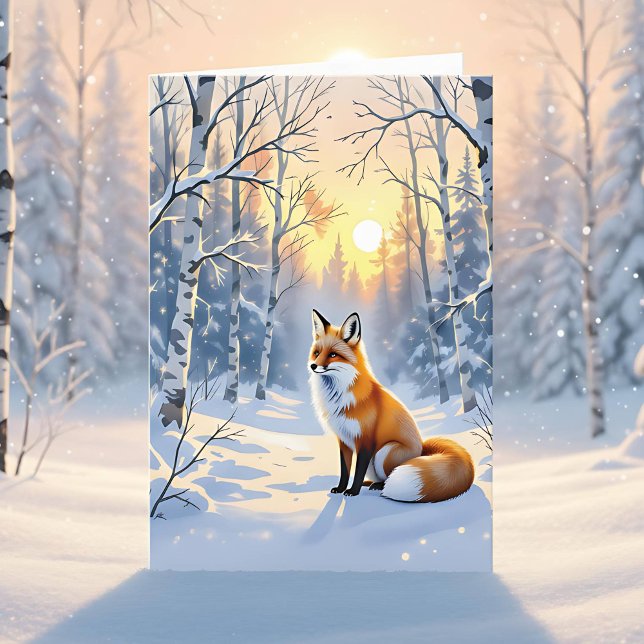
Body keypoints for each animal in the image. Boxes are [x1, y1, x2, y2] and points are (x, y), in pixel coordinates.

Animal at [308, 309, 475, 503]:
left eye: (333, 354)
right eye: (317, 352)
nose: (313, 366)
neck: (339, 397)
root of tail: (421, 451)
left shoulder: (366, 440)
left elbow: (357, 472)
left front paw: (353, 491)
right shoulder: (344, 440)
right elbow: (345, 470)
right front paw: (341, 488)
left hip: (384, 451)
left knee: (389, 477)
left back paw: (380, 487)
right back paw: (371, 483)